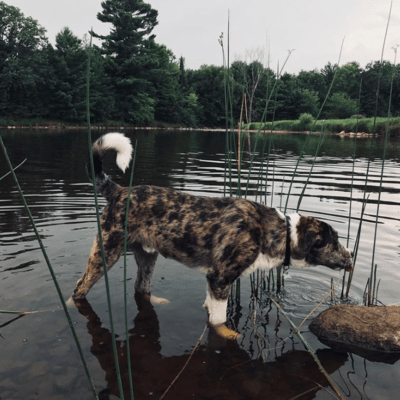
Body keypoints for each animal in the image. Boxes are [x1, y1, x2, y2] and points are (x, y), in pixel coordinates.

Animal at [70, 134, 354, 338]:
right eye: (334, 241)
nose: (351, 256)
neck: (273, 230)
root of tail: (118, 191)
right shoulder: (220, 278)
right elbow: (218, 321)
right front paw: (228, 334)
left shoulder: (214, 283)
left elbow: (209, 308)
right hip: (106, 252)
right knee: (80, 288)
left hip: (147, 256)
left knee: (141, 288)